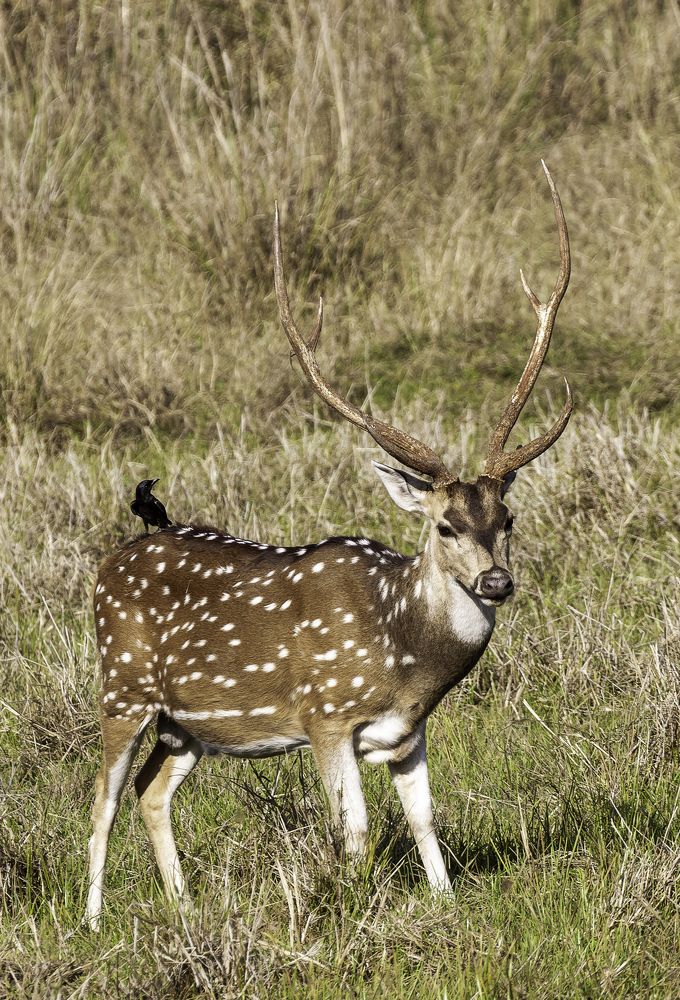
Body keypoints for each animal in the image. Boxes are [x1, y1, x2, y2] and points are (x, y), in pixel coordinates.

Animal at [86, 162, 572, 930]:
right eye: (444, 526)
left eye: (509, 518)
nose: (496, 583)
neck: (403, 650)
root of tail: (114, 557)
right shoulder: (326, 716)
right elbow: (356, 834)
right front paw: (353, 912)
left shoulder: (408, 732)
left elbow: (426, 821)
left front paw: (446, 905)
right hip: (122, 686)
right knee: (101, 801)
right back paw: (94, 920)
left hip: (188, 725)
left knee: (150, 790)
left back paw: (185, 908)